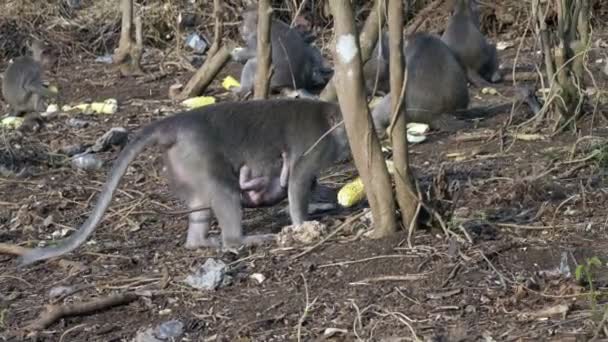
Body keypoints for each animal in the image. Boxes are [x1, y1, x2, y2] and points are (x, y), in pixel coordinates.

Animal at [16, 97, 350, 266]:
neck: (328, 121)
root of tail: (173, 123)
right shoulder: (313, 146)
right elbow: (297, 180)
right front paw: (302, 224)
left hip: (185, 162)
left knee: (203, 200)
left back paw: (199, 242)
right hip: (197, 152)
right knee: (225, 191)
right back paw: (238, 240)